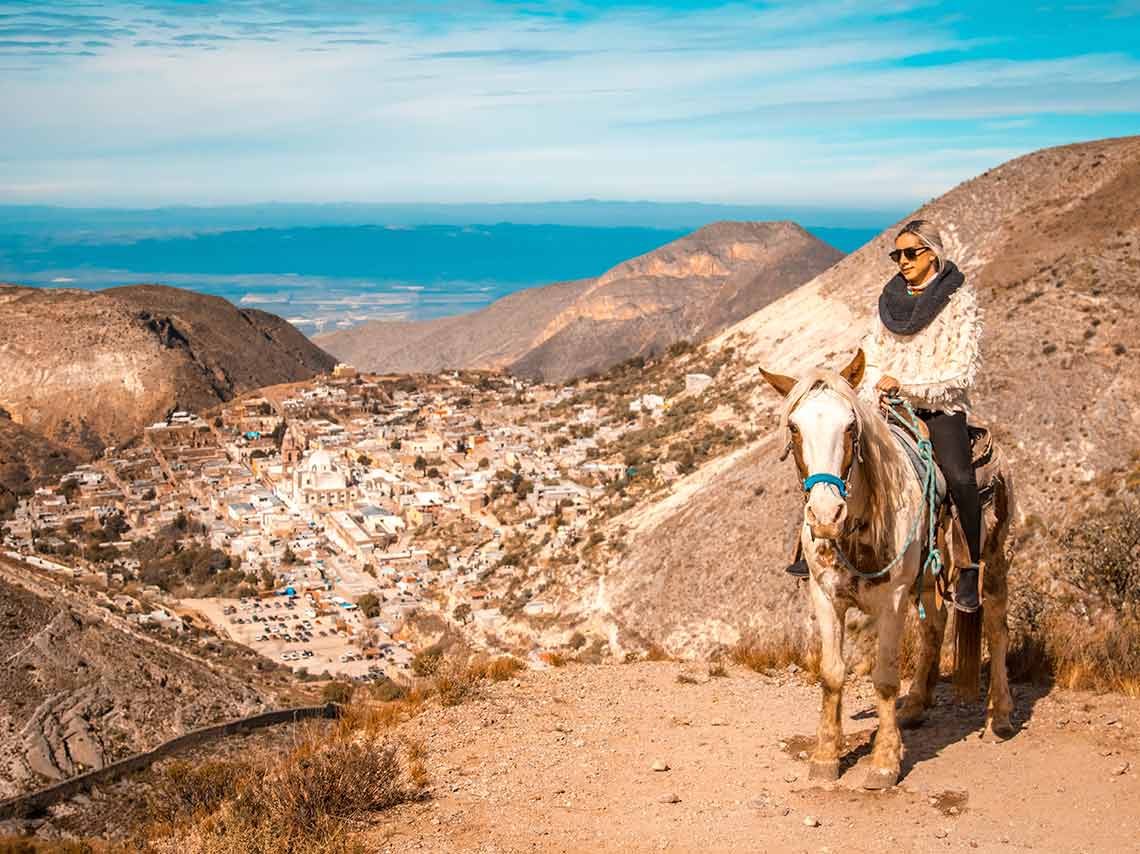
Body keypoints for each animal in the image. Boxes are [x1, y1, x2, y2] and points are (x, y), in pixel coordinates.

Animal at [756, 348, 1016, 789]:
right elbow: (831, 673)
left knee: (996, 626)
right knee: (935, 624)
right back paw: (914, 707)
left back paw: (998, 718)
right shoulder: (825, 596)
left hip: (992, 562)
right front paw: (825, 756)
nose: (826, 515)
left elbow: (885, 678)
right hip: (927, 578)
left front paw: (884, 762)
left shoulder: (892, 601)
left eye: (850, 425)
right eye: (793, 427)